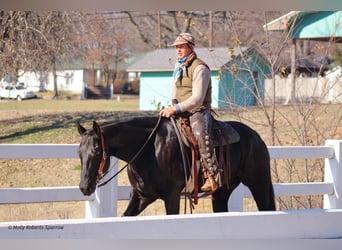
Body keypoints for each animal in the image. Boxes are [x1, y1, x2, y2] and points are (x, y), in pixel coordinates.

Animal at [77, 115, 276, 215]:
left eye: (96, 150)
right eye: (79, 152)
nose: (85, 187)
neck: (149, 148)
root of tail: (255, 137)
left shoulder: (172, 196)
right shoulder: (141, 196)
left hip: (259, 184)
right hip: (221, 192)